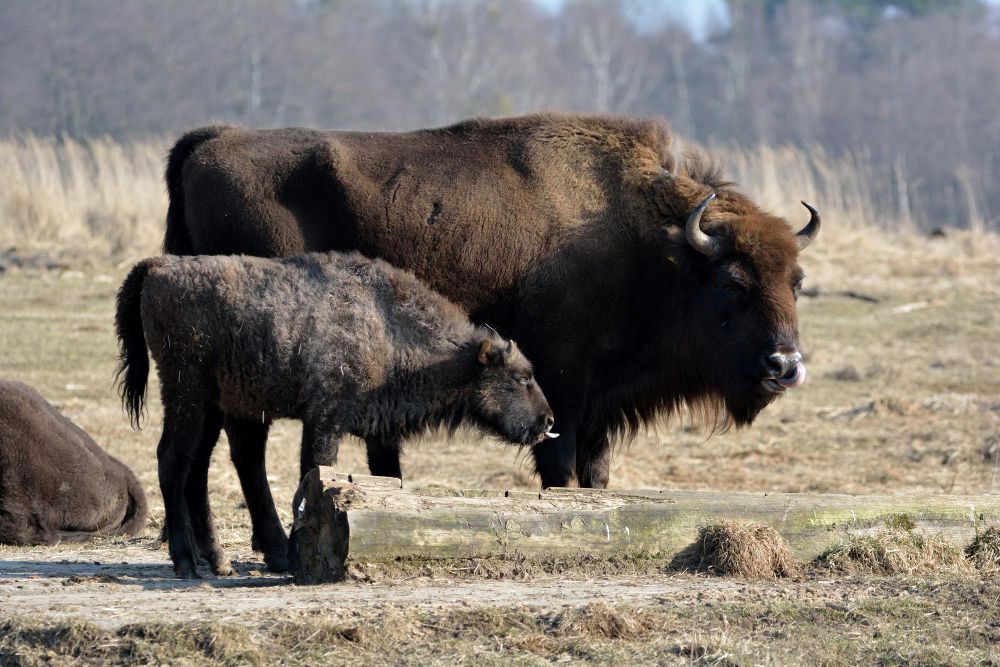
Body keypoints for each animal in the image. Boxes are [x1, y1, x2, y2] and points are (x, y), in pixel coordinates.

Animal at [115, 251, 554, 577]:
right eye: (520, 377)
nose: (547, 421)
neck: (385, 325)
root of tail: (158, 266)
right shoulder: (325, 419)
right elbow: (311, 475)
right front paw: (298, 555)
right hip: (187, 394)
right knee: (172, 462)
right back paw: (186, 562)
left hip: (211, 407)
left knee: (198, 469)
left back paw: (219, 561)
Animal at [164, 113, 819, 489]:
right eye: (733, 283)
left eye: (797, 280)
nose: (785, 365)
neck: (650, 241)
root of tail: (211, 141)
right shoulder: (564, 382)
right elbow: (560, 463)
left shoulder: (601, 402)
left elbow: (595, 470)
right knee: (244, 445)